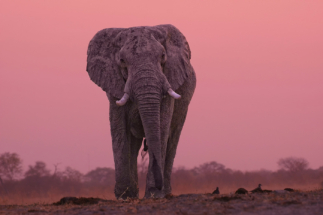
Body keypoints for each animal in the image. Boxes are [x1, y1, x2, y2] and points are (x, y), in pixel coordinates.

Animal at [86, 24, 196, 199]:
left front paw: (153, 195)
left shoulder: (170, 78)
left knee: (172, 138)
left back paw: (166, 192)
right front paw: (125, 196)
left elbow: (162, 126)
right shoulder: (114, 84)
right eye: (122, 61)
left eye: (163, 56)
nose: (157, 185)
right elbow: (119, 129)